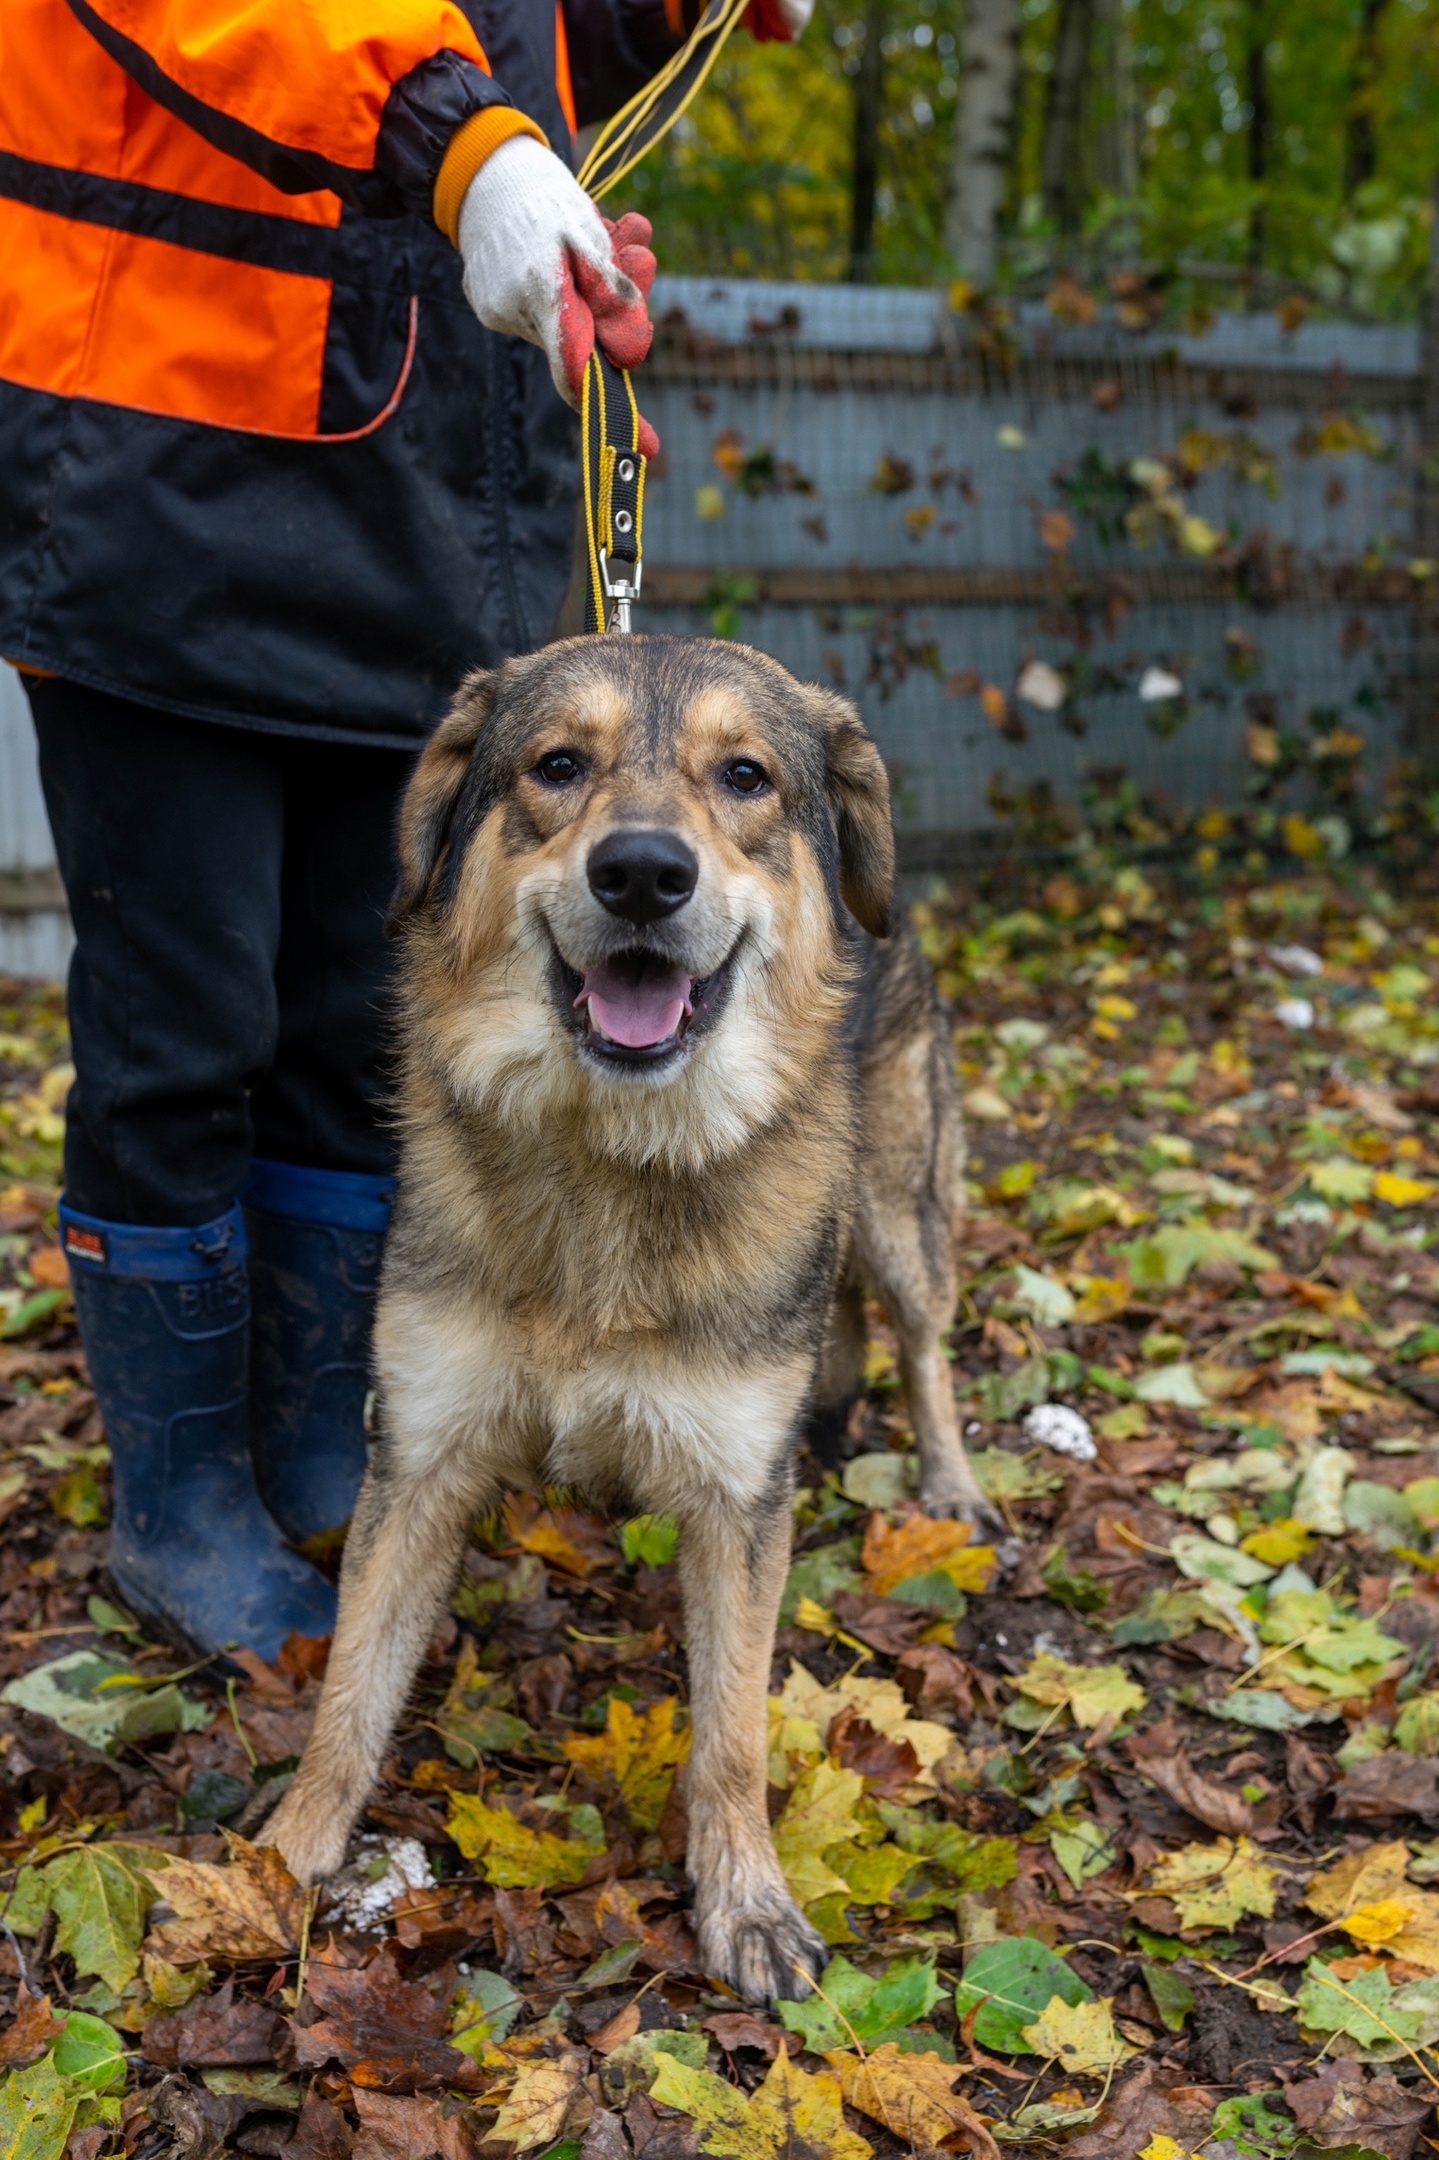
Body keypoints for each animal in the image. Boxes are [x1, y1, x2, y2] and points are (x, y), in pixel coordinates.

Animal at [263, 630, 993, 1995]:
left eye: (746, 776)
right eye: (557, 766)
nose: (644, 872)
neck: (610, 1158)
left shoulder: (735, 1507)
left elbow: (734, 1737)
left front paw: (747, 1906)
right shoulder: (418, 1458)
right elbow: (346, 1696)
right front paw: (272, 1871)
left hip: (894, 1208)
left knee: (919, 1338)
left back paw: (950, 1483)